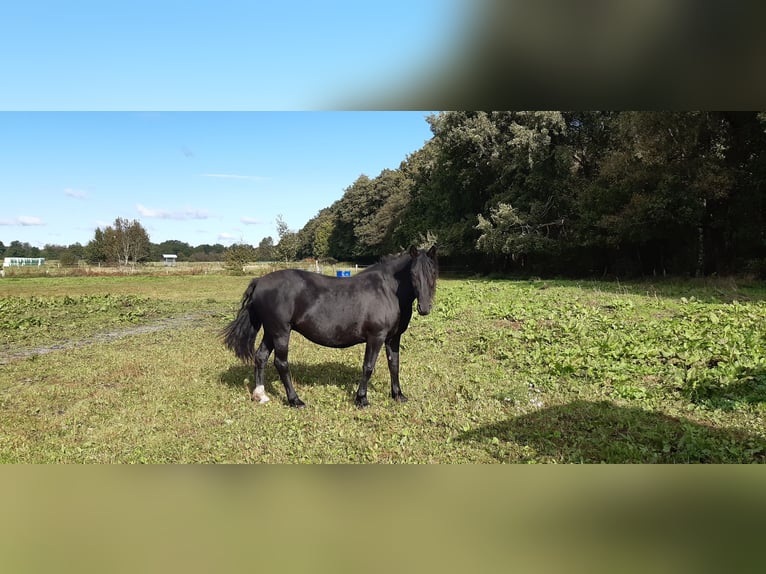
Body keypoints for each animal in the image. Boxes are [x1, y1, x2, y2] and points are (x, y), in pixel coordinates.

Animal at [222, 246, 438, 410]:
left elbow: (394, 365)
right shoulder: (375, 337)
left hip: (270, 332)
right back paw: (295, 400)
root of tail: (259, 281)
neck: (387, 291)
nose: (425, 308)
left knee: (261, 357)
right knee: (281, 363)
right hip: (281, 332)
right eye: (412, 274)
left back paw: (260, 395)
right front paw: (361, 399)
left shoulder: (393, 338)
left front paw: (398, 395)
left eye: (434, 273)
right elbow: (368, 367)